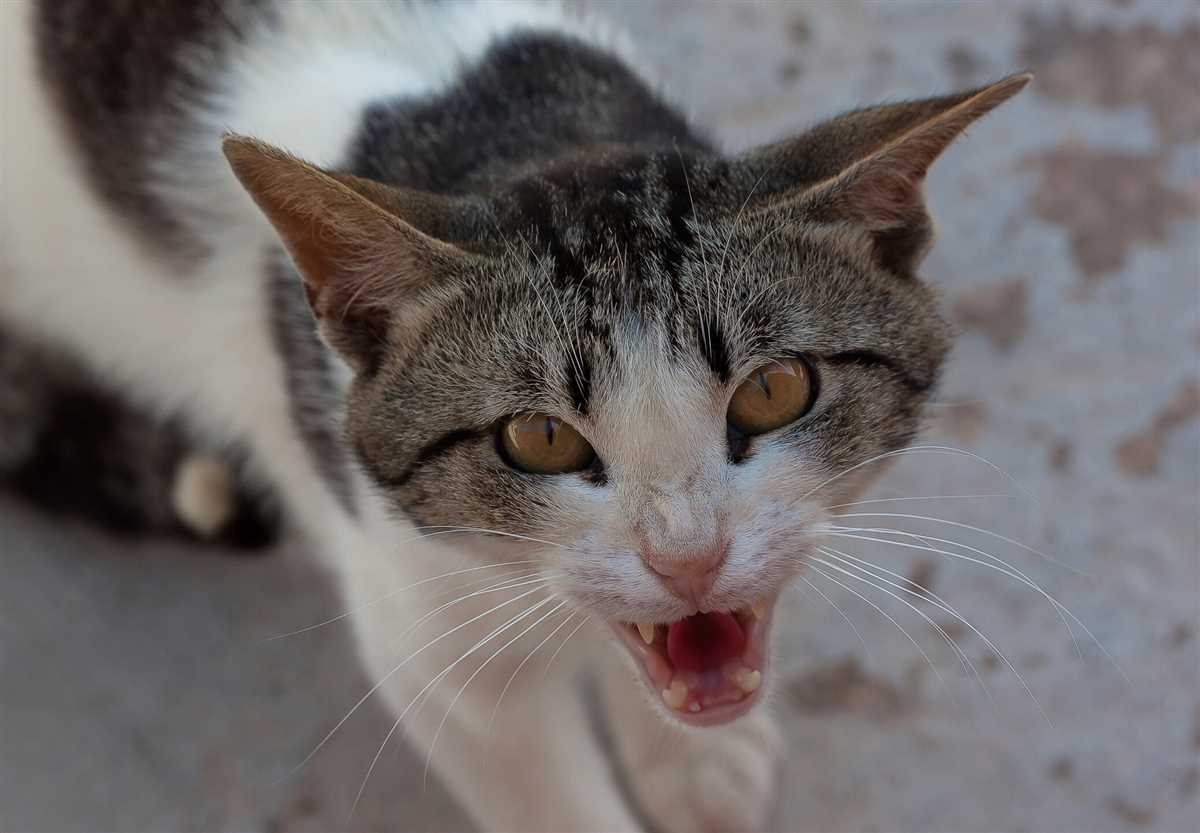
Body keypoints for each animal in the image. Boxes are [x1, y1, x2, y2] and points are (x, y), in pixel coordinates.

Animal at [2, 3, 1032, 830]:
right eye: (539, 439)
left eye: (774, 390)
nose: (688, 558)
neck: (507, 122)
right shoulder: (425, 637)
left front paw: (694, 761)